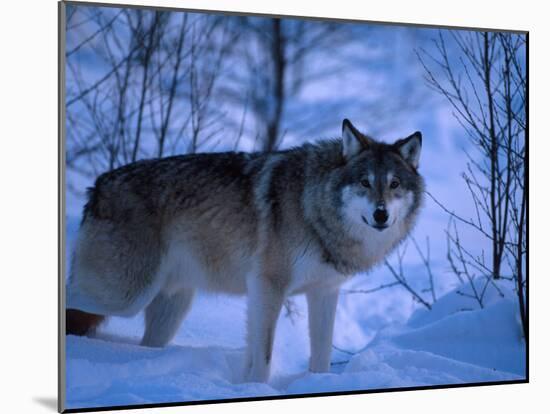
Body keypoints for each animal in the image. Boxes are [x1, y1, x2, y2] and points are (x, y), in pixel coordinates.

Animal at [66, 118, 426, 384]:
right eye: (365, 183)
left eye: (394, 185)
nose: (381, 214)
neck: (312, 208)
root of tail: (97, 185)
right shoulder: (268, 287)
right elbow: (263, 355)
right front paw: (256, 389)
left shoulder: (323, 292)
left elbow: (319, 354)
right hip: (125, 296)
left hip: (170, 308)